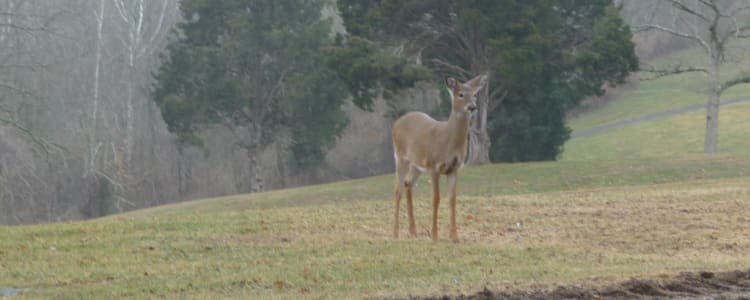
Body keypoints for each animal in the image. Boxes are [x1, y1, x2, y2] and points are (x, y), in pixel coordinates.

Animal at [390, 73, 490, 241]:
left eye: (474, 95)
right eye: (460, 94)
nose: (472, 107)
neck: (448, 141)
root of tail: (396, 123)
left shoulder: (454, 168)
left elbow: (452, 199)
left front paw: (454, 236)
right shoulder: (434, 165)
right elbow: (436, 198)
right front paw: (435, 235)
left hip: (416, 165)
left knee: (408, 183)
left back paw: (413, 231)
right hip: (400, 156)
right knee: (397, 190)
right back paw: (395, 233)